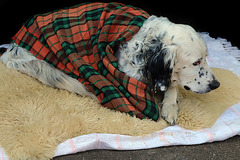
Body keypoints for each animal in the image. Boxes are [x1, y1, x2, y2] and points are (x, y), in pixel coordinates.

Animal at [0, 15, 220, 125]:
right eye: (196, 62)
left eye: (206, 57)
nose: (216, 84)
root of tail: (13, 47)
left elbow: (172, 85)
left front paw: (170, 106)